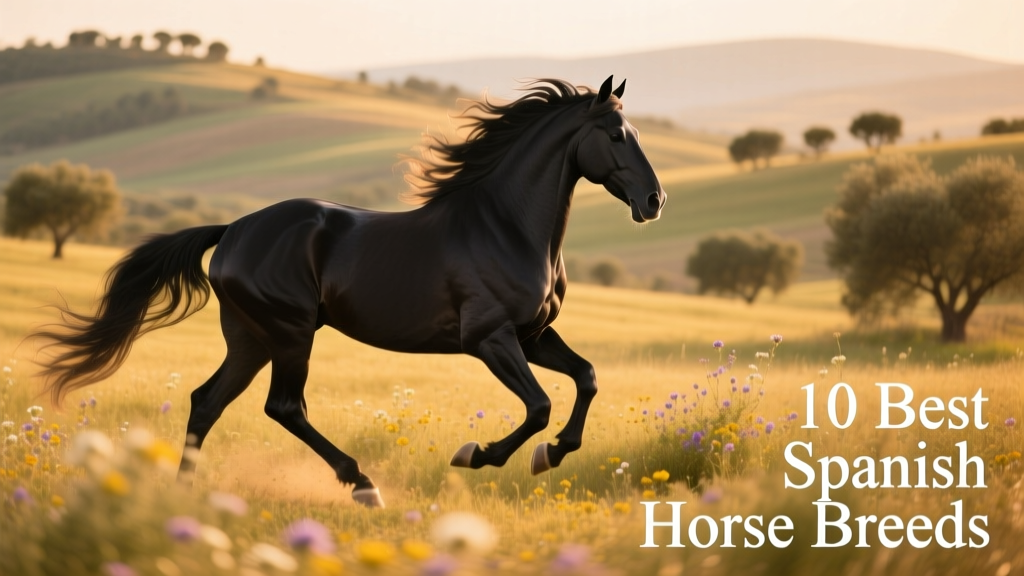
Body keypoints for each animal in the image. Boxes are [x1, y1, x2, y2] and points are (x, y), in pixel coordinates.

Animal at [34, 76, 665, 508]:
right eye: (615, 135)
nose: (654, 201)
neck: (504, 226)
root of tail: (233, 229)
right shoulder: (489, 337)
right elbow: (538, 406)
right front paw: (478, 454)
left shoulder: (533, 334)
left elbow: (586, 378)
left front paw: (549, 454)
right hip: (289, 332)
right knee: (283, 406)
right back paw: (362, 485)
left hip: (250, 338)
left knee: (207, 401)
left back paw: (181, 498)